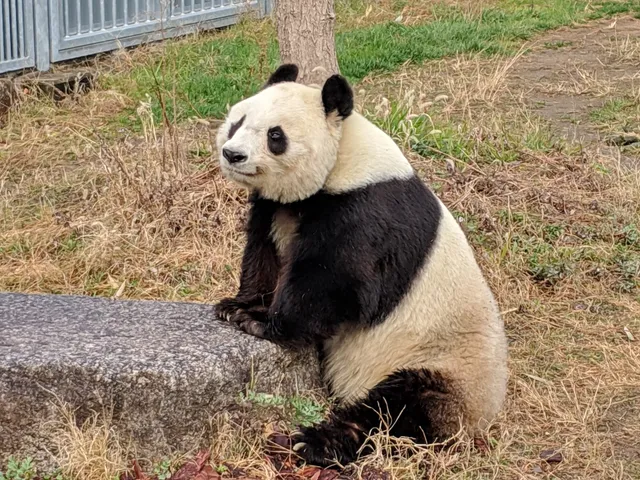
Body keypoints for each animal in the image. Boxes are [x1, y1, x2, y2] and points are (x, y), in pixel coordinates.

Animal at [214, 64, 508, 467]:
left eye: (276, 135)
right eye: (237, 122)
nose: (233, 154)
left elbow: (336, 282)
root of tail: (485, 416)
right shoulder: (275, 208)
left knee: (399, 407)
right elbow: (264, 252)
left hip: (444, 363)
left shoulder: (366, 213)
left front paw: (261, 321)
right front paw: (240, 305)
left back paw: (316, 442)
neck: (344, 157)